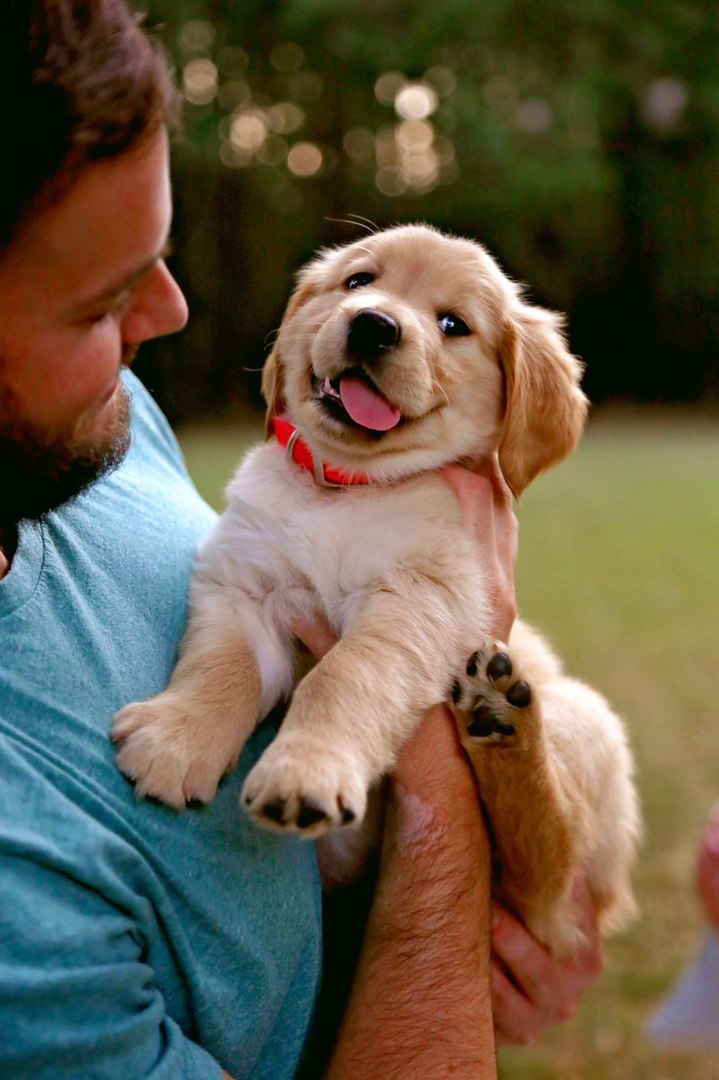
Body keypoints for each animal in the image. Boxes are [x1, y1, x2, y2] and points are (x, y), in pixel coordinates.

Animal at [113, 225, 639, 954]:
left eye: (454, 325)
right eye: (359, 281)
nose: (372, 325)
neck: (346, 487)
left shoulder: (420, 598)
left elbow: (342, 676)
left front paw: (306, 768)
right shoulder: (243, 582)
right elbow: (223, 664)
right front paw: (179, 737)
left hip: (587, 723)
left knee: (543, 877)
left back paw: (502, 721)